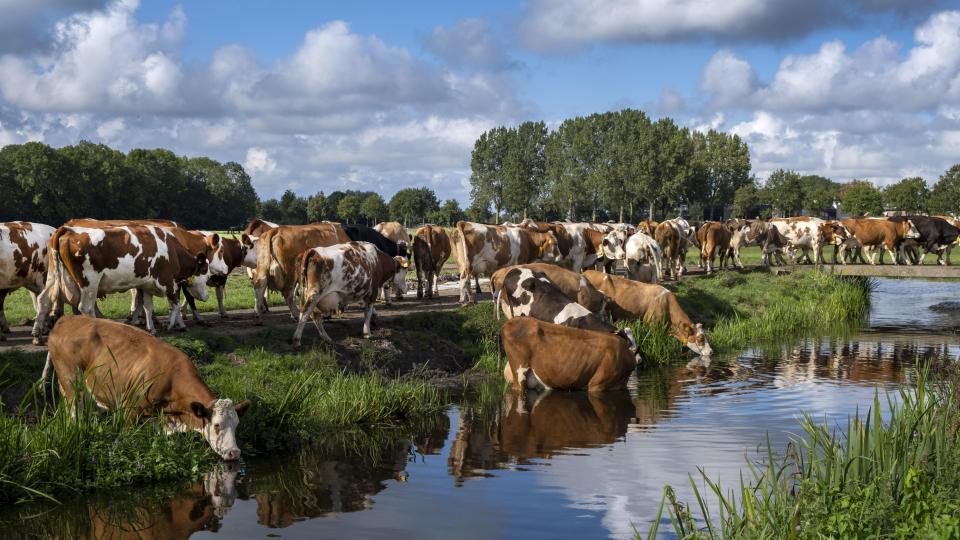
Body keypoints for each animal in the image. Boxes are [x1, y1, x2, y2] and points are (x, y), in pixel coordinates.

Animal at [41, 316, 251, 460]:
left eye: (237, 425)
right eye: (216, 425)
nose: (234, 452)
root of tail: (66, 319)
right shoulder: (130, 410)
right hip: (71, 385)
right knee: (75, 414)